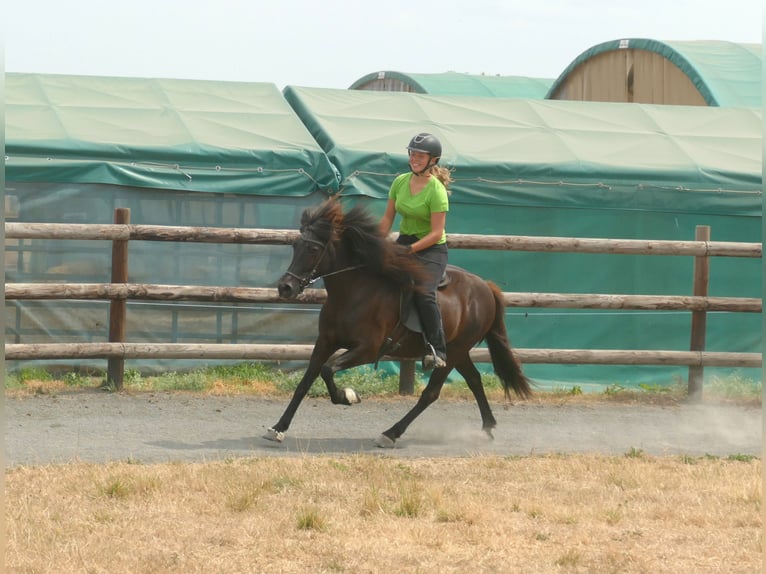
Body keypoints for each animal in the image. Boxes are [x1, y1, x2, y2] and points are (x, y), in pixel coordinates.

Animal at [266, 197, 532, 447]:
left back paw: (390, 434)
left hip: (455, 351)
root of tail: (485, 286)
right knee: (474, 380)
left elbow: (327, 369)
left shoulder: (368, 350)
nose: (285, 287)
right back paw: (487, 427)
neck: (355, 292)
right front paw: (278, 428)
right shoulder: (325, 342)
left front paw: (348, 396)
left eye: (312, 248)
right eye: (295, 245)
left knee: (431, 393)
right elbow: (306, 380)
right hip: (459, 351)